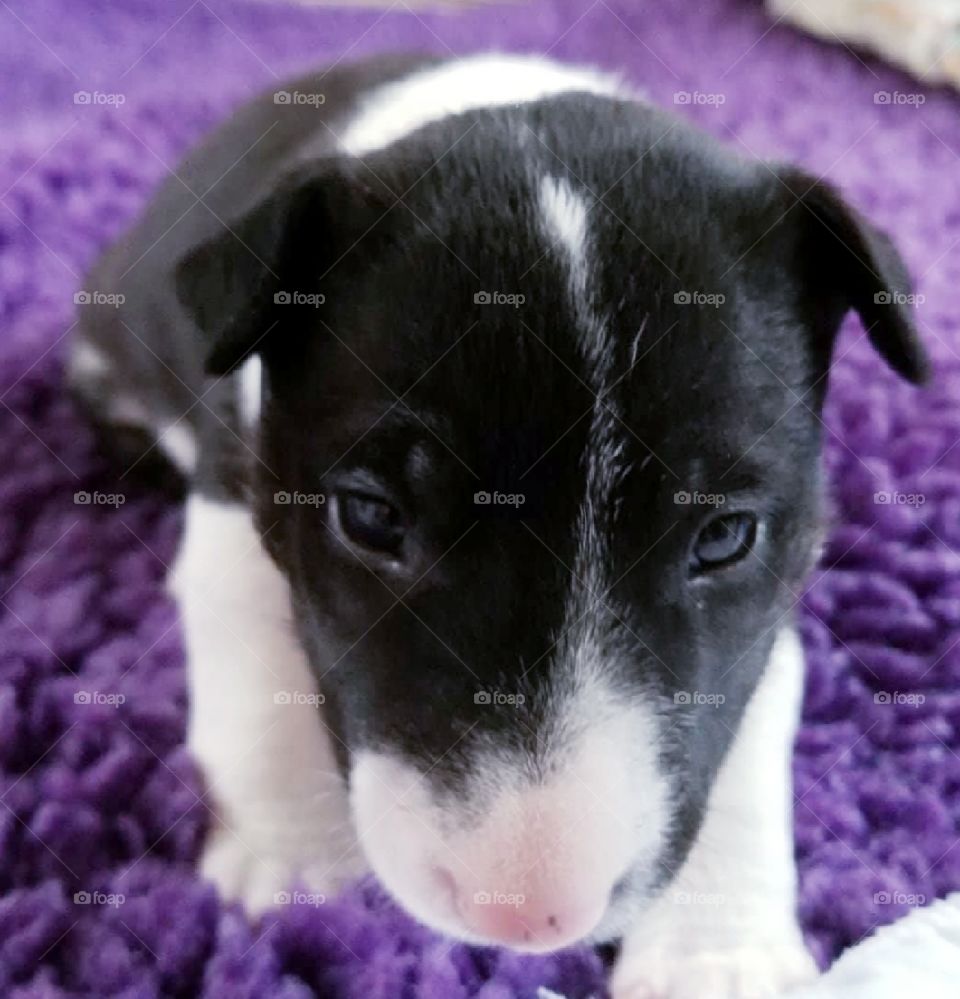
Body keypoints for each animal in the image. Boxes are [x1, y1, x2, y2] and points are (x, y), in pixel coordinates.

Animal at [71, 52, 928, 999]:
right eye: (371, 518)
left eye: (725, 536)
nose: (524, 916)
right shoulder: (234, 502)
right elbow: (258, 668)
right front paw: (290, 868)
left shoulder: (774, 595)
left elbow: (751, 705)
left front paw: (716, 956)